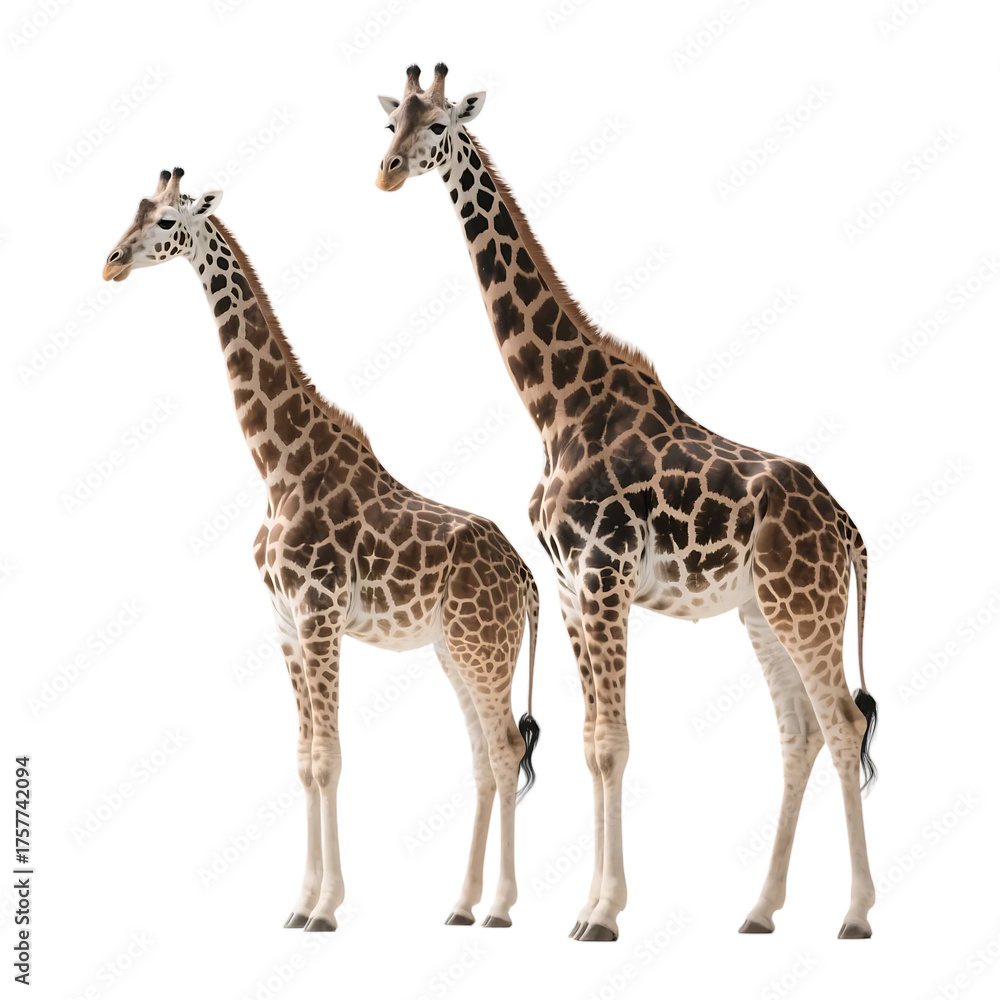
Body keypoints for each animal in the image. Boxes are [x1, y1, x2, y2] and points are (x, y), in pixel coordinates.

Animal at [102, 167, 541, 931]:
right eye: (134, 210)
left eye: (165, 223)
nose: (111, 262)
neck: (277, 467)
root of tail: (527, 578)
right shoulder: (284, 622)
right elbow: (306, 758)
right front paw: (300, 902)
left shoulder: (319, 612)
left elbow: (331, 757)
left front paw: (327, 909)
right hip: (455, 649)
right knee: (484, 756)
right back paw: (461, 904)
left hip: (484, 648)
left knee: (507, 746)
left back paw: (500, 907)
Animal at [375, 65, 879, 941]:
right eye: (388, 124)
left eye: (438, 125)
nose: (389, 172)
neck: (552, 408)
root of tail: (846, 526)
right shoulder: (572, 587)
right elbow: (590, 742)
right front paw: (589, 906)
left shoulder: (604, 575)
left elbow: (611, 743)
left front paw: (602, 916)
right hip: (764, 608)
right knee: (801, 731)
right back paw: (760, 910)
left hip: (805, 602)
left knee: (843, 724)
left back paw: (854, 914)